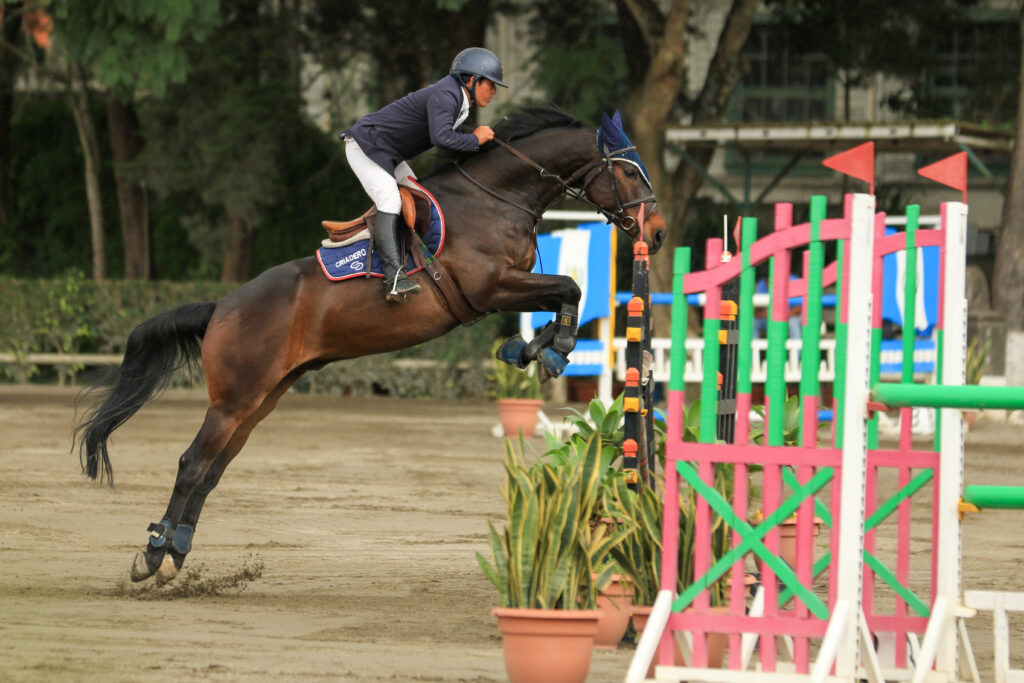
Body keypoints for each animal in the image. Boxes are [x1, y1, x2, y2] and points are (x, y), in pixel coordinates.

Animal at [72, 104, 663, 585]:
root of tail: (221, 308)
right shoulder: (490, 288)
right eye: (628, 170)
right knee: (193, 464)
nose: (655, 233)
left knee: (213, 471)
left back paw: (176, 552)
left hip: (260, 400)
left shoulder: (507, 287)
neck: (495, 200)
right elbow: (569, 287)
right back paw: (153, 555)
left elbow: (564, 291)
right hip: (234, 400)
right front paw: (551, 347)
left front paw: (535, 349)